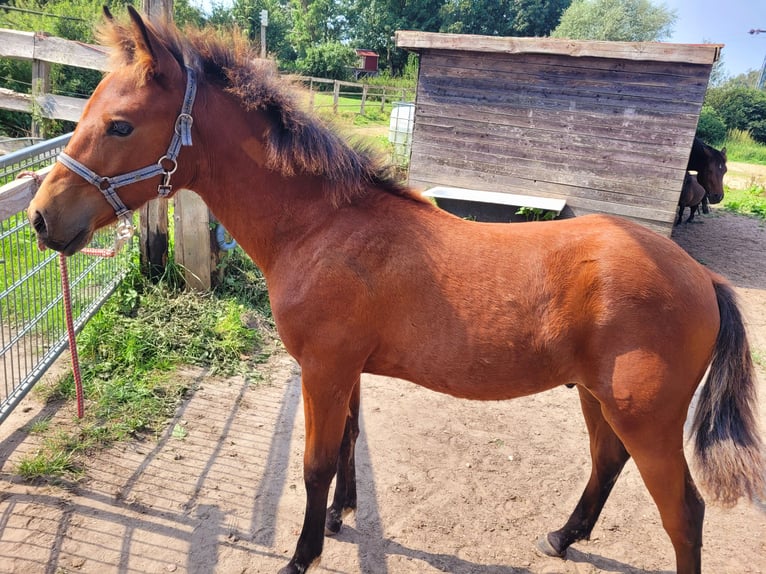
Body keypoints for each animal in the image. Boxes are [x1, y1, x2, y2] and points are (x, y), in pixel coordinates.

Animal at [25, 10, 766, 574]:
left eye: (120, 124)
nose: (39, 219)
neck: (321, 224)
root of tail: (702, 278)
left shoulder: (323, 368)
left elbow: (316, 462)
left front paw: (302, 555)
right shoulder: (344, 369)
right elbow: (348, 446)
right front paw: (340, 518)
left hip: (646, 417)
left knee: (683, 513)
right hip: (595, 396)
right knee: (607, 463)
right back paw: (560, 537)